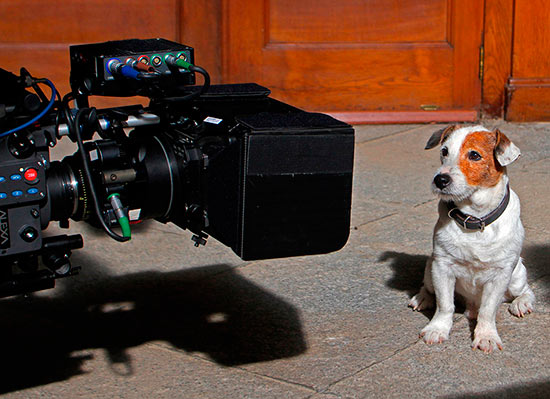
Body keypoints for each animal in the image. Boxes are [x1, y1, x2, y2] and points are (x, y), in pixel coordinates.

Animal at [412, 124, 536, 354]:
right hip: (430, 267)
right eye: (444, 151)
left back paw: (522, 303)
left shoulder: (500, 275)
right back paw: (422, 297)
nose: (440, 180)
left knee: (525, 290)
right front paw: (438, 329)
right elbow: (445, 305)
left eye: (475, 155)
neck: (475, 218)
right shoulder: (442, 267)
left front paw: (486, 336)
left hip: (516, 277)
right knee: (428, 288)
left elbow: (488, 310)